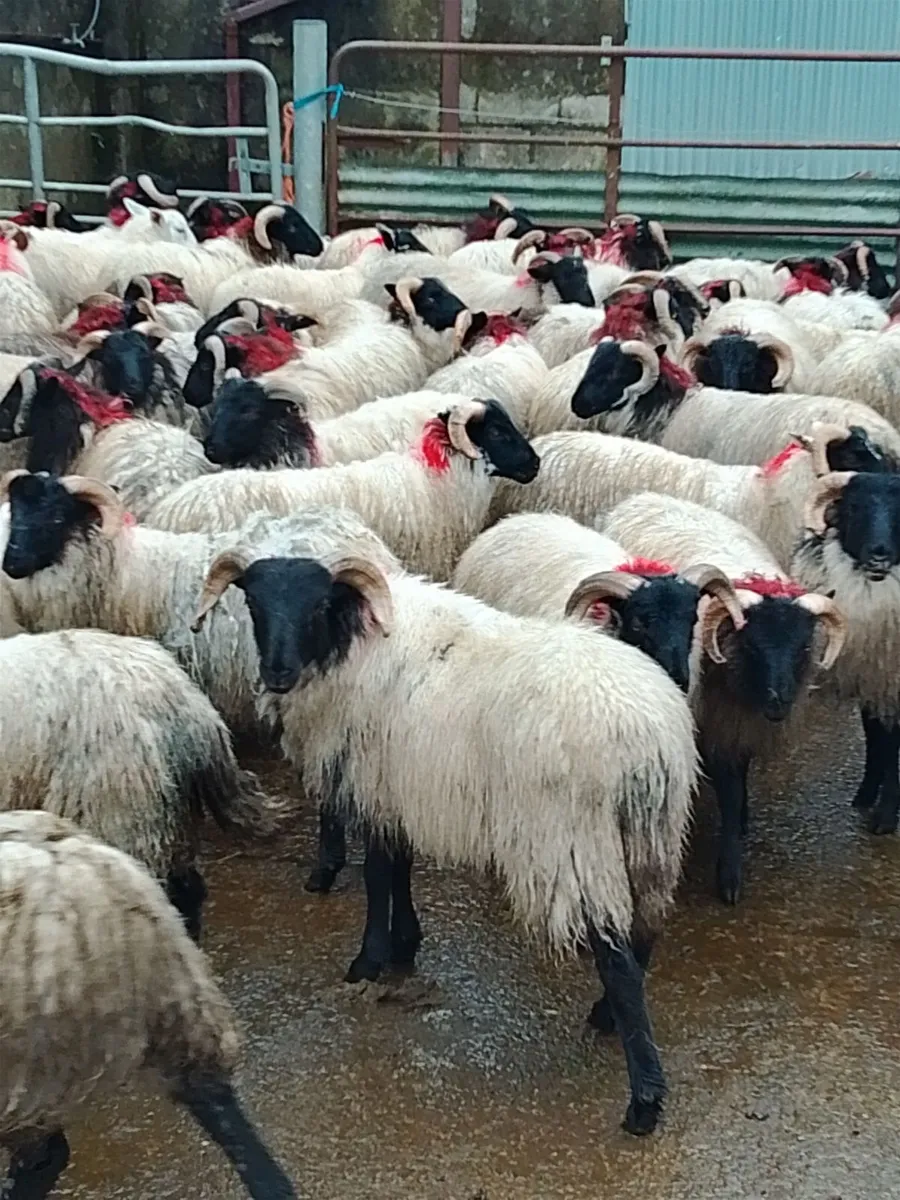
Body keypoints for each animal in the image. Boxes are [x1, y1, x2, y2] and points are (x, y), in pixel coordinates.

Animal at [192, 540, 699, 1136]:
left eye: (318, 605)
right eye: (254, 603)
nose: (277, 672)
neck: (352, 643)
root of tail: (649, 739)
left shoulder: (375, 781)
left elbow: (379, 874)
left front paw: (369, 959)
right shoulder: (400, 787)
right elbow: (400, 867)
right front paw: (405, 943)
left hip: (571, 840)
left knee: (616, 958)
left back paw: (644, 1098)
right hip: (651, 839)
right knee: (644, 932)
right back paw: (606, 1018)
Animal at [603, 492, 846, 904]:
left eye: (802, 647)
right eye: (751, 646)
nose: (778, 702)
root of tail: (643, 497)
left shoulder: (740, 724)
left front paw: (744, 818)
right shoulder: (715, 724)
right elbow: (729, 794)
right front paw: (730, 872)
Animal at [793, 468, 900, 835]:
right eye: (854, 507)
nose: (880, 553)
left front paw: (886, 816)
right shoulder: (873, 679)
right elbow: (875, 737)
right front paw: (866, 794)